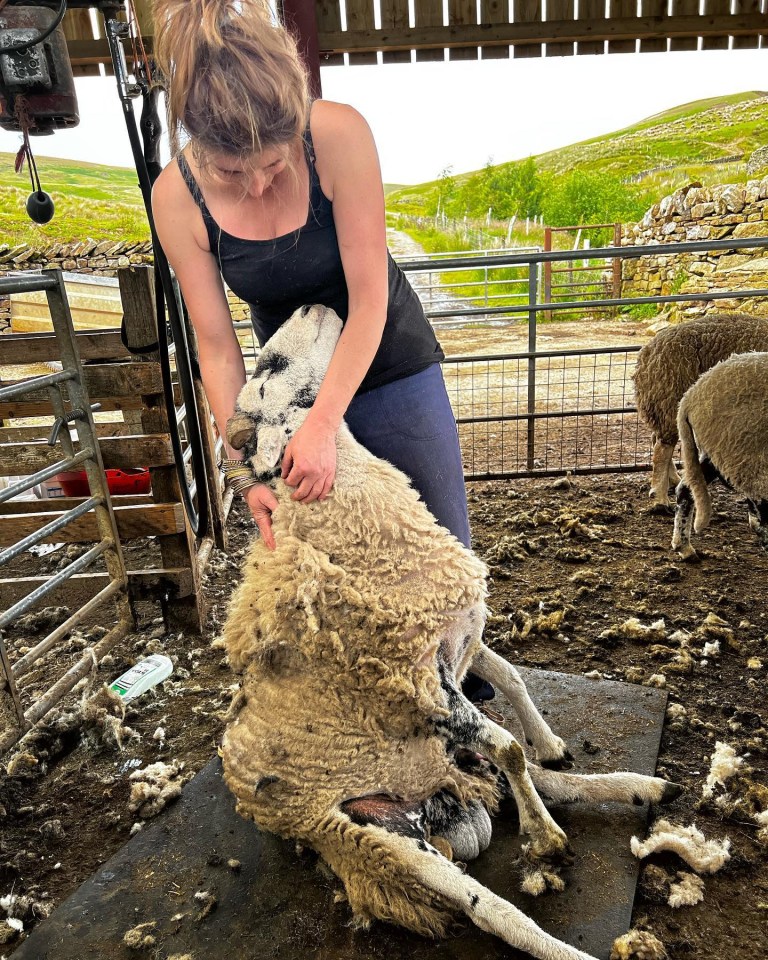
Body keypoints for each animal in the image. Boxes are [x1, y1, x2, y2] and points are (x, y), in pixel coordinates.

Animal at [220, 306, 680, 960]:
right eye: (269, 365)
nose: (313, 306)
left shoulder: (456, 643)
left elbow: (512, 686)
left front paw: (548, 742)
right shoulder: (423, 685)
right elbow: (508, 746)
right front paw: (545, 837)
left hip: (445, 764)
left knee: (541, 780)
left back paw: (642, 788)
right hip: (381, 836)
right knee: (489, 908)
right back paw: (561, 909)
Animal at [632, 314, 768, 510]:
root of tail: (646, 353)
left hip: (662, 405)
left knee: (656, 439)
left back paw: (673, 481)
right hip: (670, 398)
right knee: (662, 449)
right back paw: (660, 498)